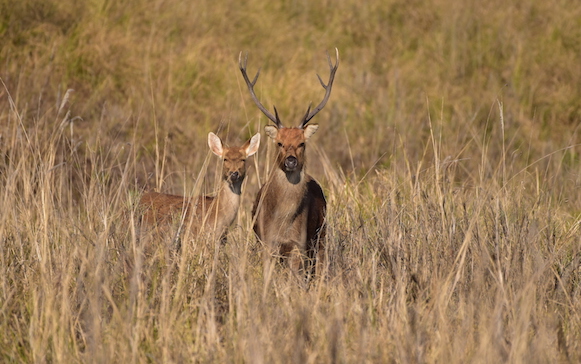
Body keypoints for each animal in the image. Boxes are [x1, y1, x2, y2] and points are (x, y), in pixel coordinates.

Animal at [239, 48, 340, 276]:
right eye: (279, 143)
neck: (283, 222)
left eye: (302, 143)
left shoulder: (298, 243)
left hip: (321, 233)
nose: (291, 161)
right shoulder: (267, 241)